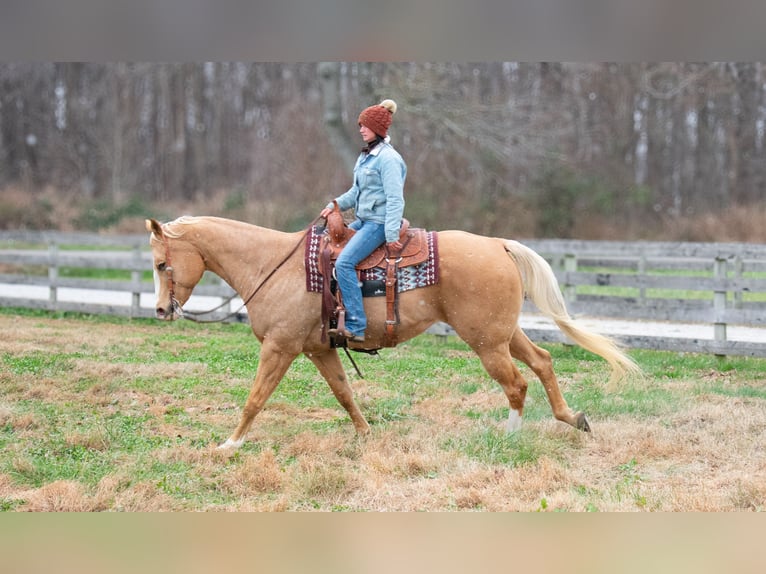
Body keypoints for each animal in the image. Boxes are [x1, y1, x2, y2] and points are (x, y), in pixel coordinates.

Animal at [146, 215, 640, 450]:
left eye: (161, 263)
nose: (161, 309)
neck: (274, 265)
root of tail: (498, 245)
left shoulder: (279, 348)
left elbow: (255, 398)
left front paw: (230, 444)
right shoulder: (319, 350)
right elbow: (345, 394)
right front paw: (366, 434)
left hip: (486, 342)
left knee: (516, 383)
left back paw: (510, 436)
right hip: (503, 334)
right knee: (542, 362)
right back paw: (572, 418)